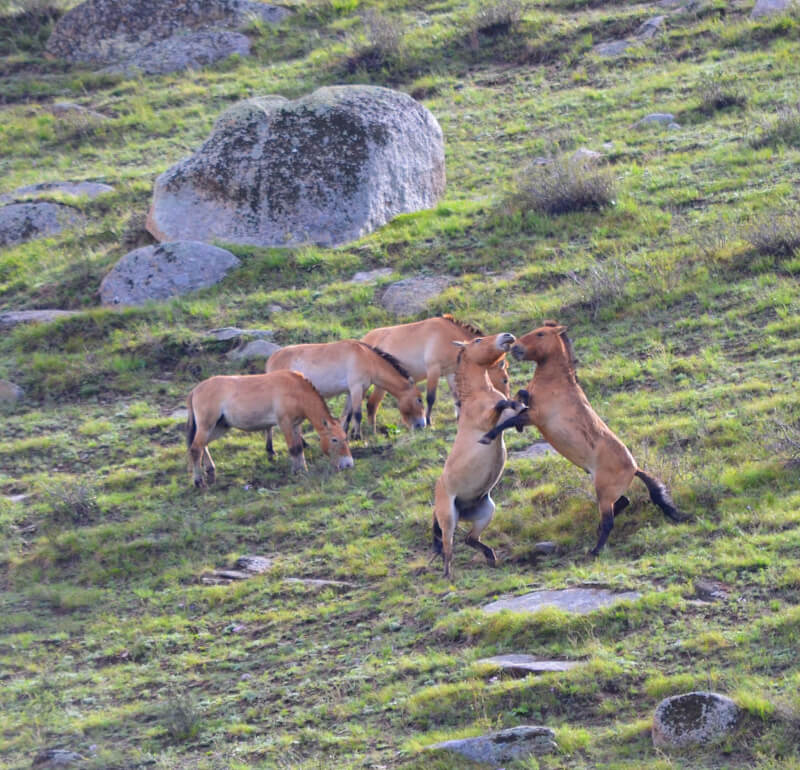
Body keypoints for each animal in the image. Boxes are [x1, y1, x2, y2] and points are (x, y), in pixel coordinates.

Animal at [186, 370, 353, 487]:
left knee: (203, 446)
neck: (296, 390)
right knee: (196, 449)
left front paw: (303, 469)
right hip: (207, 425)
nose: (349, 464)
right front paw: (296, 472)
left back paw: (210, 471)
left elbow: (299, 448)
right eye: (334, 439)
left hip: (219, 427)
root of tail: (195, 390)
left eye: (346, 438)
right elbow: (294, 449)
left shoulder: (295, 425)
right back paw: (198, 481)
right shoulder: (285, 423)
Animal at [266, 340, 426, 439]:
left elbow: (348, 415)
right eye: (419, 399)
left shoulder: (350, 391)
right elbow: (357, 414)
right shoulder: (356, 388)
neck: (367, 357)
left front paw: (346, 435)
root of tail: (271, 359)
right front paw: (358, 437)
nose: (422, 425)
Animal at [362, 314, 511, 429]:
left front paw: (460, 417)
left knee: (372, 404)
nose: (507, 400)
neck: (449, 336)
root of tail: (364, 339)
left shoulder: (450, 372)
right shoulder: (434, 370)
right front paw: (429, 422)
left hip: (381, 385)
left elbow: (457, 397)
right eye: (505, 380)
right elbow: (430, 398)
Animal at [432, 332, 527, 578]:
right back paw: (447, 576)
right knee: (448, 548)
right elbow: (502, 403)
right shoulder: (488, 419)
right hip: (449, 518)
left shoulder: (509, 420)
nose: (507, 336)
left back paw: (491, 557)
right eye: (477, 341)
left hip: (486, 512)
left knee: (469, 539)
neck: (478, 394)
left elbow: (517, 399)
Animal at [479, 321, 685, 555]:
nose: (515, 347)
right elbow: (517, 399)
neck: (555, 383)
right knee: (623, 502)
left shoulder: (536, 417)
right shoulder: (531, 411)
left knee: (610, 519)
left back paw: (595, 551)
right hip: (605, 490)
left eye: (540, 334)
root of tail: (634, 468)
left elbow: (509, 420)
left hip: (604, 492)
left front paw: (487, 437)